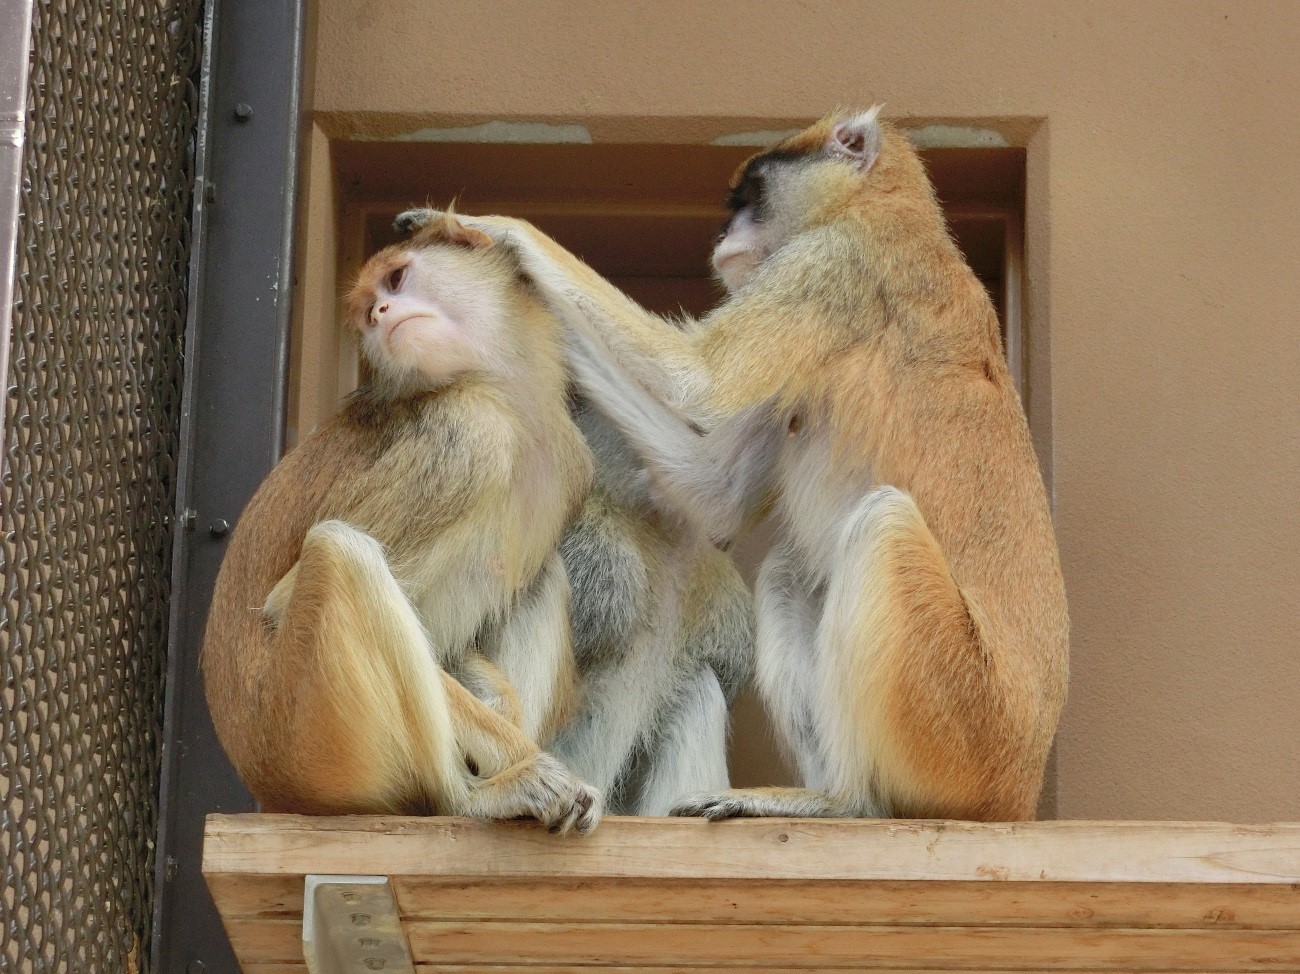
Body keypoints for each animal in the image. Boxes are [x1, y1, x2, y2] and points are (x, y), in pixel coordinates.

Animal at [201, 210, 598, 827]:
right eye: (368, 310)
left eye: (395, 280)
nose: (382, 313)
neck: (504, 394)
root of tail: (267, 783)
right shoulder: (467, 436)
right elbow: (283, 602)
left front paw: (500, 705)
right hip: (310, 739)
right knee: (341, 554)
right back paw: (473, 799)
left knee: (543, 578)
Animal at [403, 108, 1066, 821]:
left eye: (752, 194)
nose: (727, 235)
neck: (883, 207)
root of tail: (1021, 783)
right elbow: (713, 488)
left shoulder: (832, 267)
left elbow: (700, 378)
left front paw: (498, 230)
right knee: (786, 573)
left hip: (954, 714)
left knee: (880, 521)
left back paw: (844, 803)